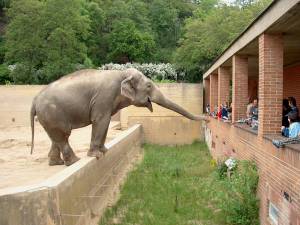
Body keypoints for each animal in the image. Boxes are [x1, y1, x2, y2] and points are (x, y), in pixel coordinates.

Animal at [31, 68, 209, 165]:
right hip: (52, 113)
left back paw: (57, 163)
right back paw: (75, 162)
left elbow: (106, 121)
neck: (122, 73)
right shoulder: (104, 96)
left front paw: (105, 151)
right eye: (149, 85)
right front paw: (97, 156)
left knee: (57, 137)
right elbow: (102, 120)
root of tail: (35, 99)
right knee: (63, 135)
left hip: (49, 116)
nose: (208, 118)